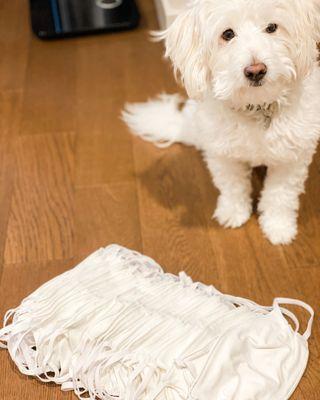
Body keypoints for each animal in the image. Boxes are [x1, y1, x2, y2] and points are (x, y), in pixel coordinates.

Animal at [124, 0, 320, 245]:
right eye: (227, 34)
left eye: (272, 27)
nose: (256, 71)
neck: (257, 107)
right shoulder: (223, 155)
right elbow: (233, 186)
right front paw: (233, 213)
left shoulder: (291, 159)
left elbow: (280, 195)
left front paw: (278, 227)